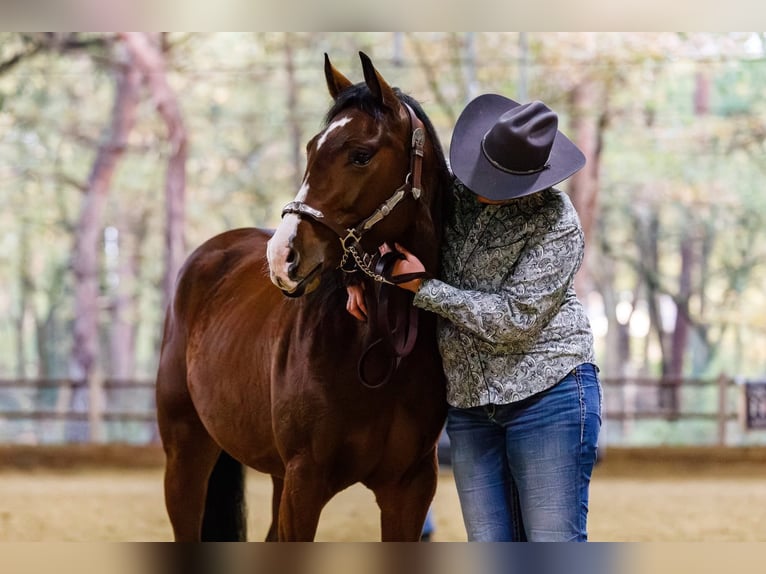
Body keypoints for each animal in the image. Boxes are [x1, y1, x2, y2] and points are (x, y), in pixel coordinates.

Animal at [155, 52, 451, 541]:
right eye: (312, 149)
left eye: (360, 154)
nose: (283, 256)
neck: (376, 346)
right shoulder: (305, 480)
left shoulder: (410, 488)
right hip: (186, 452)